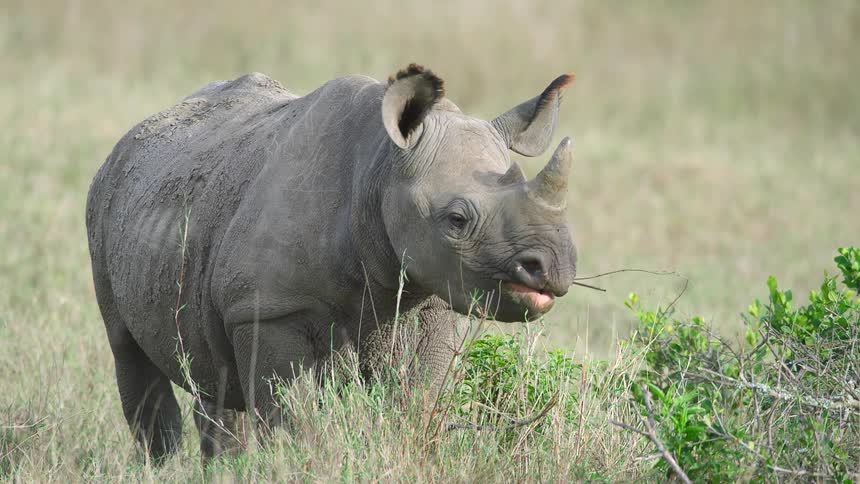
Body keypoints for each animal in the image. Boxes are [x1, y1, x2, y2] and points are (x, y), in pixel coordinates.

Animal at [86, 64, 578, 462]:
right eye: (456, 219)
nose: (552, 269)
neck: (380, 170)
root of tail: (130, 139)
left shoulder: (432, 301)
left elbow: (415, 404)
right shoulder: (269, 309)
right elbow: (291, 417)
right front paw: (300, 463)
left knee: (215, 376)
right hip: (105, 198)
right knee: (128, 350)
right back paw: (162, 465)